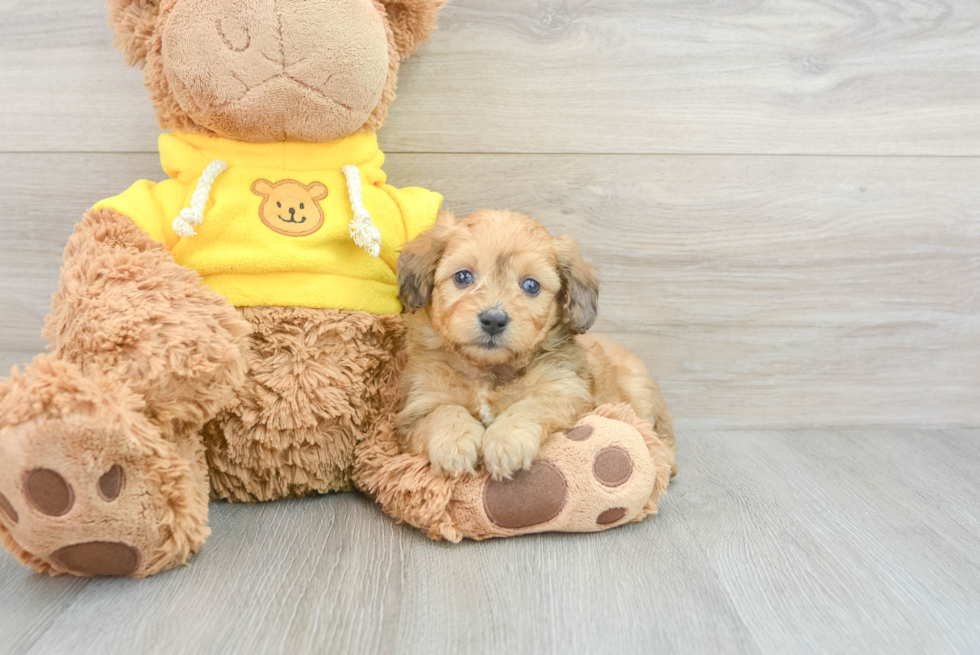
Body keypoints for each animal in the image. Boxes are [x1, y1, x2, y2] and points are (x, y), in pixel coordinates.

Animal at [394, 211, 676, 482]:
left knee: (661, 433)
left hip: (640, 393)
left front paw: (506, 442)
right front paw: (454, 444)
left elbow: (530, 406)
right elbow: (443, 411)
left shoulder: (564, 394)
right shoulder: (420, 401)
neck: (489, 371)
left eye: (531, 285)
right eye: (463, 276)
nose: (494, 320)